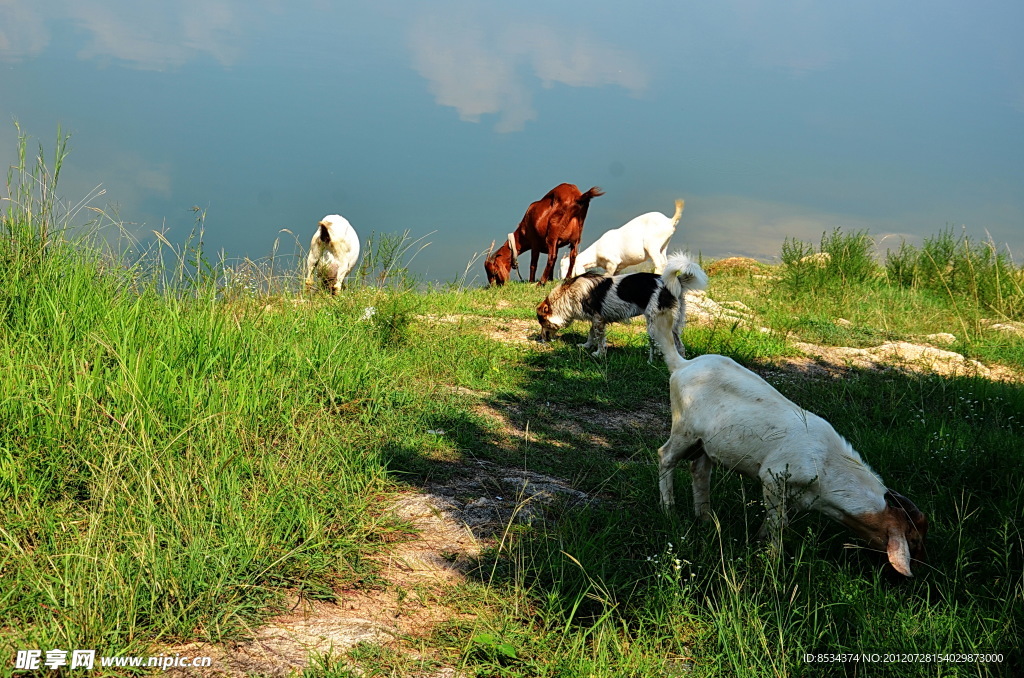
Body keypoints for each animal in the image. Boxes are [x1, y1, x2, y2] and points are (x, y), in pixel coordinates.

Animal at [651, 327, 933, 577]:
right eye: (914, 540)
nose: (922, 568)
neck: (827, 462)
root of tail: (682, 365)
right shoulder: (773, 478)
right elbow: (779, 523)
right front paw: (773, 561)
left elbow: (773, 521)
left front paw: (758, 542)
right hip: (684, 429)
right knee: (666, 456)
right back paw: (669, 510)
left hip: (705, 444)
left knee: (699, 470)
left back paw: (706, 519)